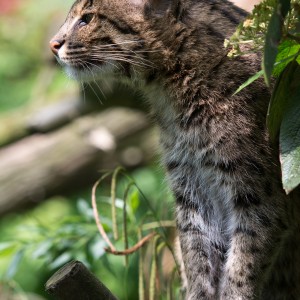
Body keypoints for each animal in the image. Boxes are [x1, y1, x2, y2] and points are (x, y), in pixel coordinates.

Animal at [50, 0, 298, 298]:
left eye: (87, 19)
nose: (52, 44)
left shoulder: (260, 197)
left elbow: (242, 264)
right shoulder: (190, 186)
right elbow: (196, 257)